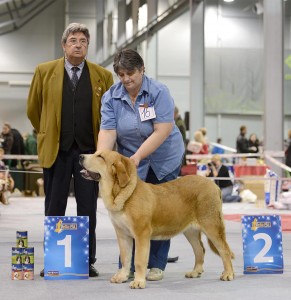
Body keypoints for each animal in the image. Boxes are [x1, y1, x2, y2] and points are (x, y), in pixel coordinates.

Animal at [80, 150, 235, 288]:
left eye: (100, 156)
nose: (81, 156)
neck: (121, 192)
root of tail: (214, 185)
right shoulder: (122, 235)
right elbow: (125, 258)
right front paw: (122, 276)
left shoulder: (141, 234)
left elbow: (139, 260)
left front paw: (138, 282)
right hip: (190, 231)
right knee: (200, 249)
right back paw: (195, 272)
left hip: (211, 225)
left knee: (224, 250)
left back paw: (228, 274)